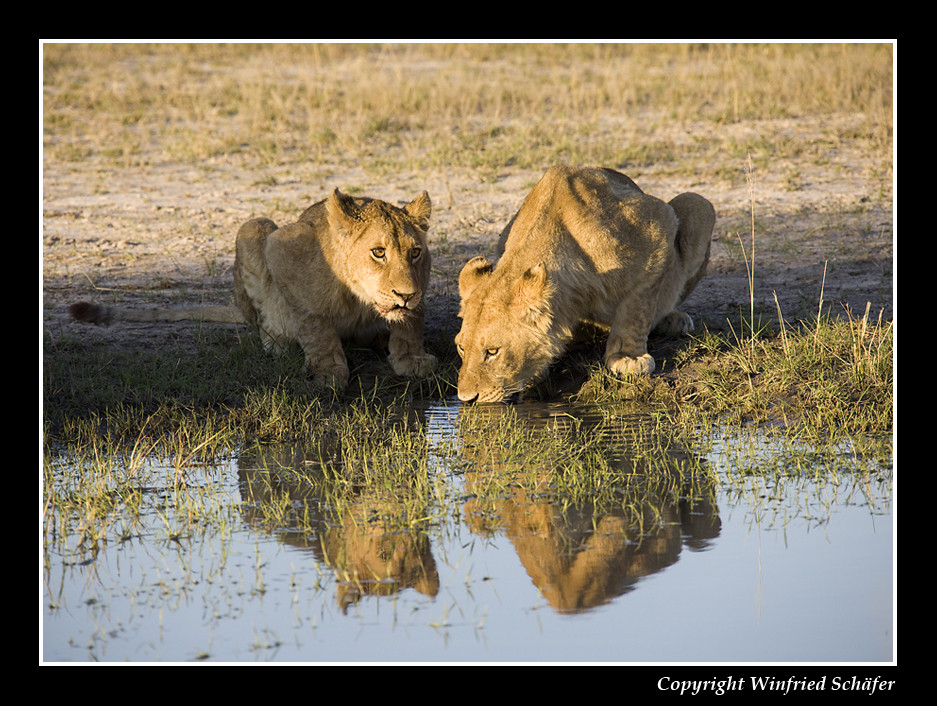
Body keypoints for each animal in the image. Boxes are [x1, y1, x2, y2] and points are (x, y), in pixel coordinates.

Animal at [68, 187, 436, 390]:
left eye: (415, 253)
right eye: (378, 252)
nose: (405, 295)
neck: (362, 300)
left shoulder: (421, 287)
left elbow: (411, 323)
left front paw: (411, 359)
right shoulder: (282, 247)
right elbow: (314, 324)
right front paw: (327, 371)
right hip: (254, 227)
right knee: (263, 320)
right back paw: (278, 343)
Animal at [452, 166, 708, 404]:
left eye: (492, 352)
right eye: (461, 347)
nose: (466, 399)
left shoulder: (658, 225)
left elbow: (637, 309)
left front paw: (628, 357)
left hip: (698, 203)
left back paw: (674, 320)